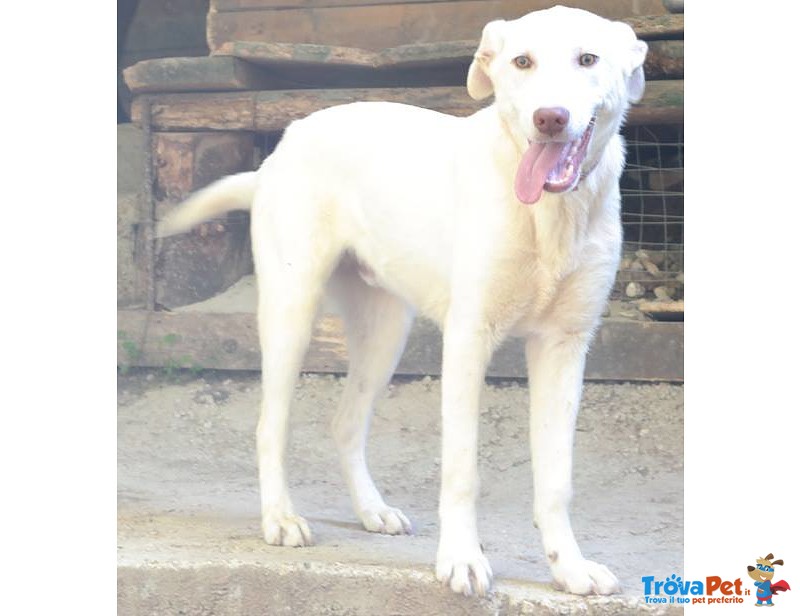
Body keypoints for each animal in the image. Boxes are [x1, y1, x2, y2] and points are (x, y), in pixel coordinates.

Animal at [159, 6, 648, 596]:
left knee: (345, 423)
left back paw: (372, 509)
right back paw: (280, 517)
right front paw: (461, 559)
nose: (549, 118)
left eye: (588, 59)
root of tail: (285, 144)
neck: (548, 216)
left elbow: (557, 479)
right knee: (269, 426)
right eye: (522, 62)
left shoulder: (565, 348)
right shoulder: (468, 339)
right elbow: (462, 468)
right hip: (290, 313)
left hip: (386, 333)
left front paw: (568, 566)